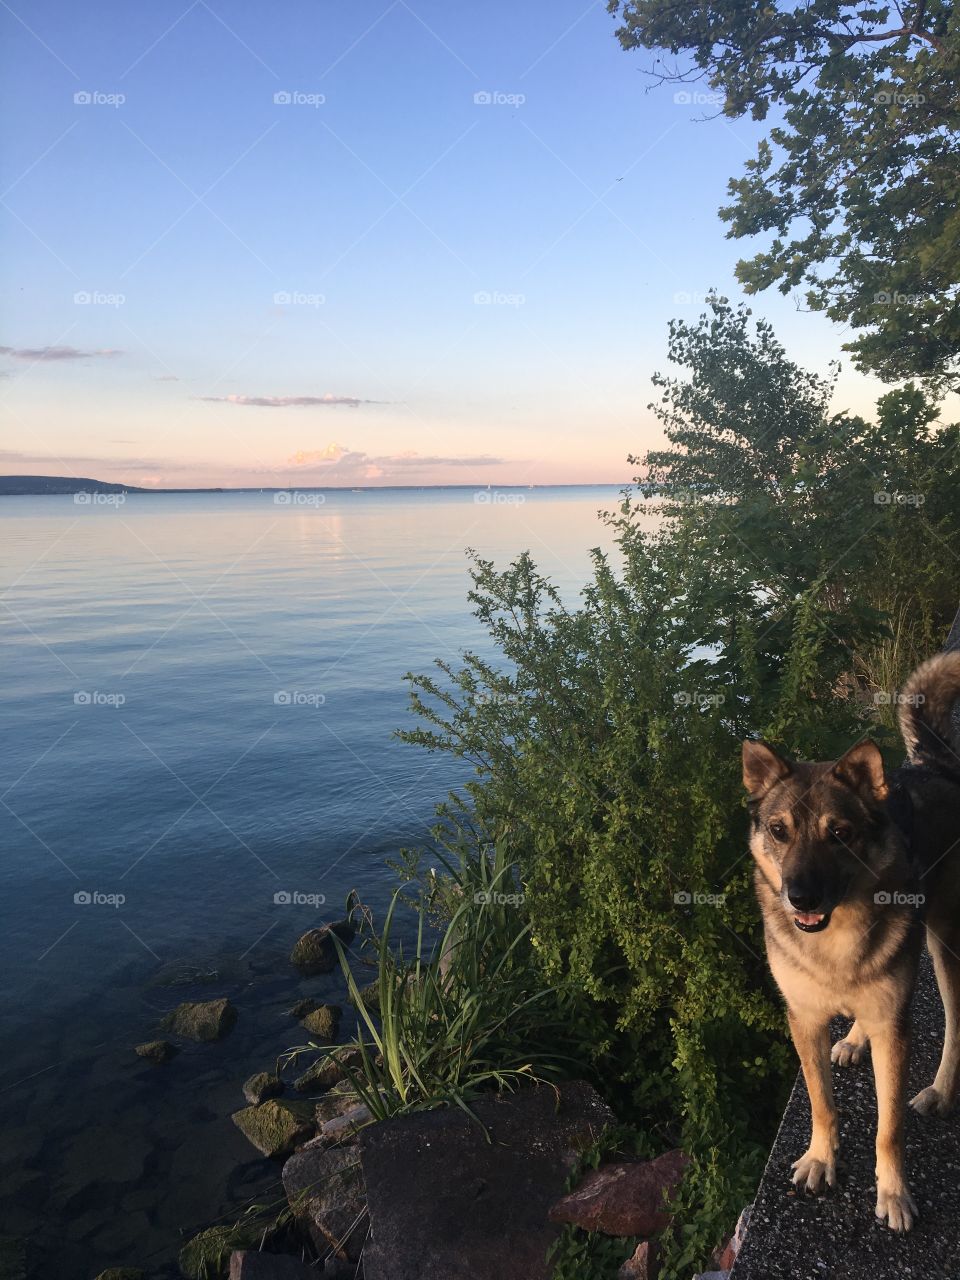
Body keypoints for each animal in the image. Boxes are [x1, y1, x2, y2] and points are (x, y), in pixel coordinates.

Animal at [747, 650, 960, 1228]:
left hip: (945, 946)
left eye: (838, 833)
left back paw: (940, 1090)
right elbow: (821, 1102)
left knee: (954, 1025)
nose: (799, 897)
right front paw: (821, 1159)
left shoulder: (896, 1031)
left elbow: (889, 1128)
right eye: (778, 831)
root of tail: (931, 765)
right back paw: (855, 1037)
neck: (834, 941)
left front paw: (893, 1191)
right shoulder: (803, 1018)